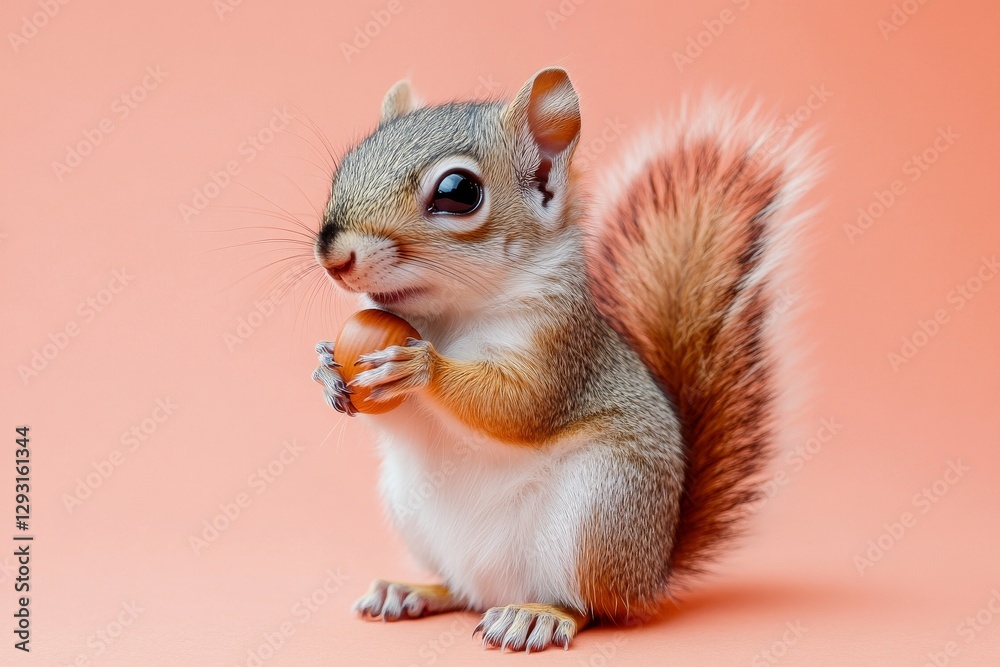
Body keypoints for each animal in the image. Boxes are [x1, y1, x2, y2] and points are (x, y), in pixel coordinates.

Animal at [310, 67, 814, 652]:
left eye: (459, 193)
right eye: (348, 162)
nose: (333, 255)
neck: (447, 317)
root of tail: (652, 574)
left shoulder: (561, 351)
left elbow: (520, 405)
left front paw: (421, 369)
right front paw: (327, 370)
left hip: (599, 509)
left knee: (594, 606)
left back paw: (539, 617)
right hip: (412, 513)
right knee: (461, 590)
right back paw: (413, 591)